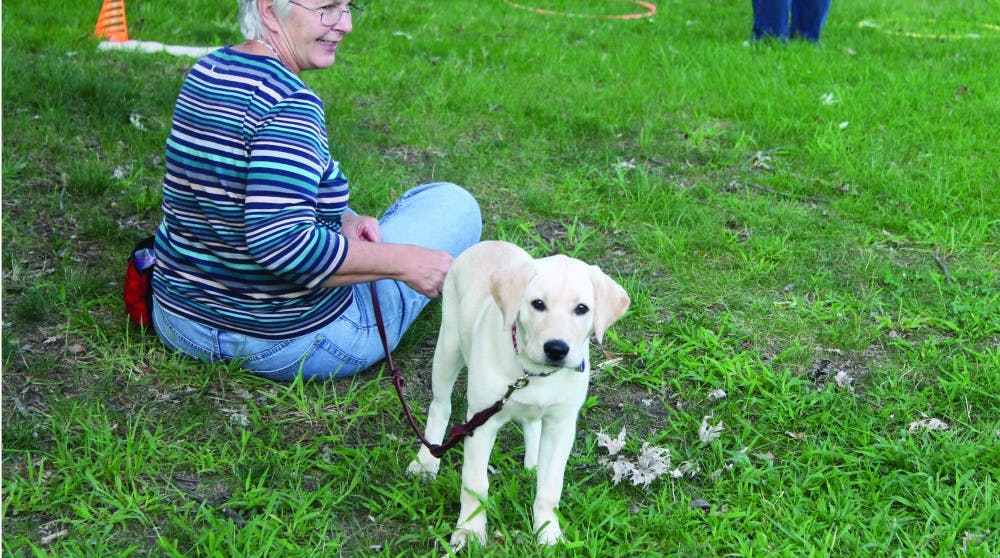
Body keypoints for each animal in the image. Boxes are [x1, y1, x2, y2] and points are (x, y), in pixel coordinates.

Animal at [406, 240, 630, 547]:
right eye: (538, 304)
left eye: (582, 309)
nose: (556, 349)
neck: (533, 372)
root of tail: (489, 243)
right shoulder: (481, 423)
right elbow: (475, 483)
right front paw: (470, 531)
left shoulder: (561, 425)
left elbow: (551, 487)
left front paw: (548, 532)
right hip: (448, 347)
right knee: (440, 406)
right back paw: (427, 461)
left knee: (532, 425)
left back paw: (533, 463)